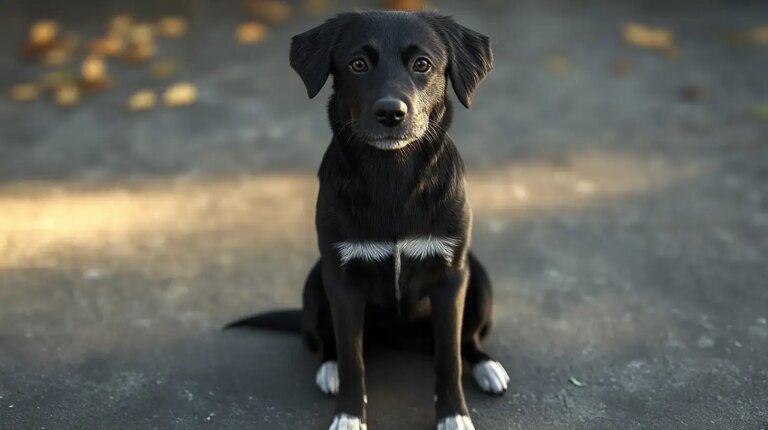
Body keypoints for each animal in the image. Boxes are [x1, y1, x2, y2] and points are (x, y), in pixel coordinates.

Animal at [225, 10, 508, 430]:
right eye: (358, 64)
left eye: (422, 64)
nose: (391, 113)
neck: (392, 174)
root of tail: (397, 337)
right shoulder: (341, 281)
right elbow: (351, 358)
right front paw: (348, 415)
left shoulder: (450, 278)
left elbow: (448, 358)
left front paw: (454, 416)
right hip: (315, 281)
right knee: (327, 344)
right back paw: (328, 370)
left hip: (478, 277)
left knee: (466, 342)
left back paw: (487, 366)